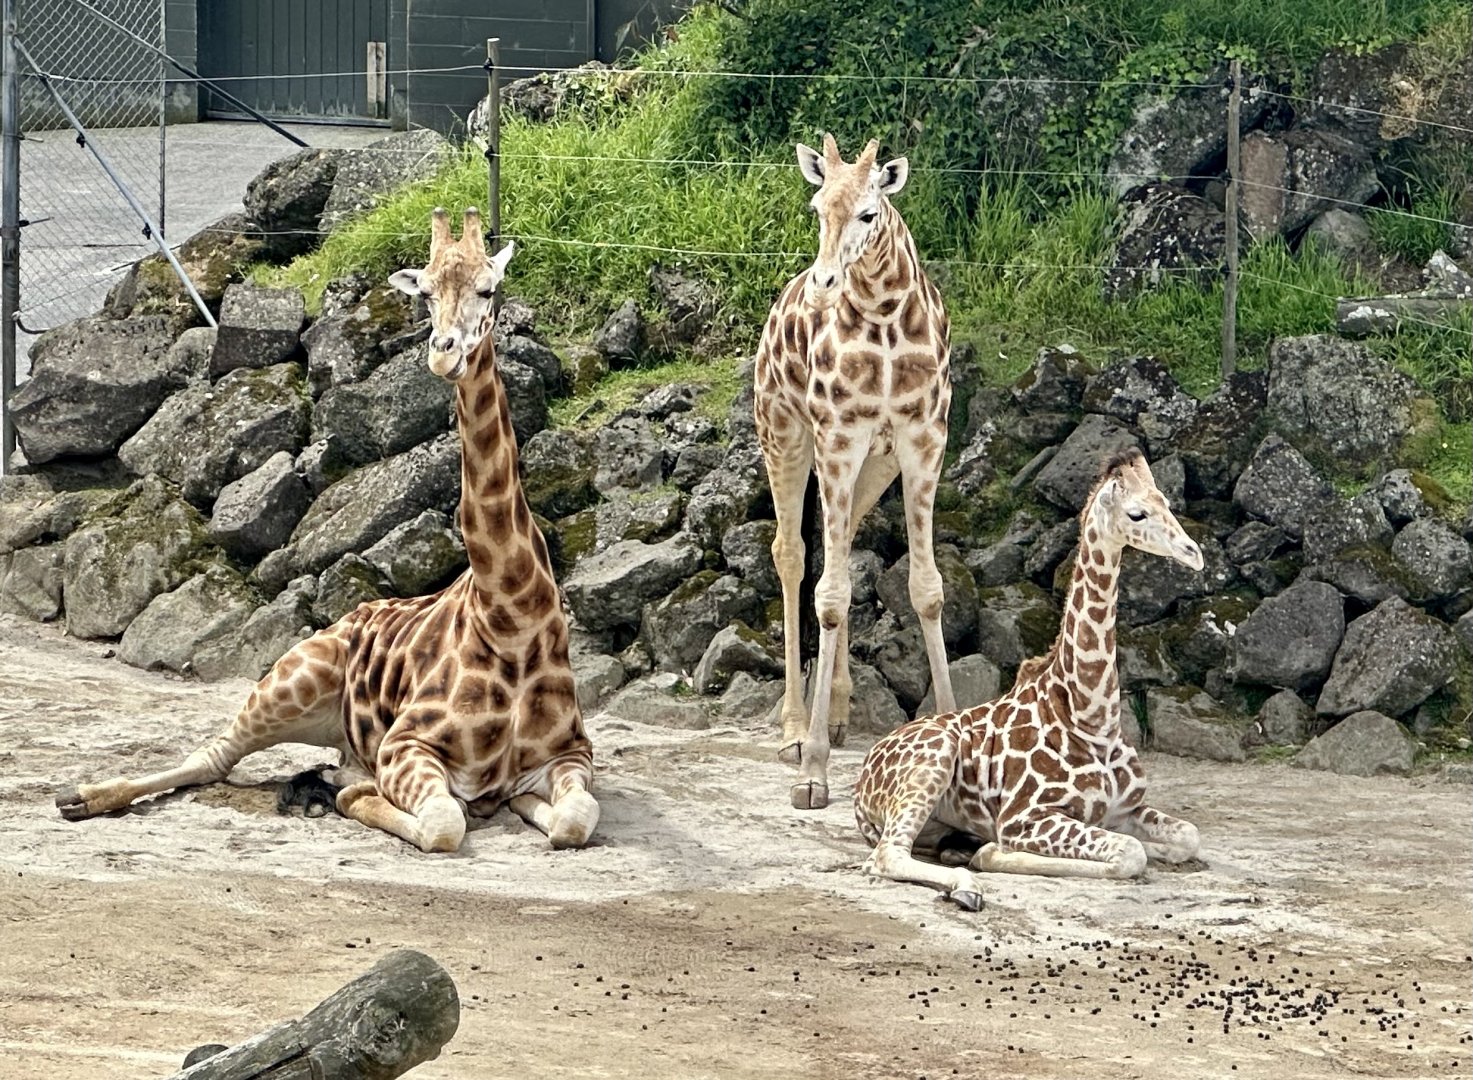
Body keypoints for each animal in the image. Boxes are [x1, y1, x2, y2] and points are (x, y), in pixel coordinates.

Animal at [54, 208, 599, 855]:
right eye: (425, 295)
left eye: (488, 290)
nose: (443, 355)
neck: (511, 618)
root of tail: (349, 616)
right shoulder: (405, 746)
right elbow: (445, 824)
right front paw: (357, 796)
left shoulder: (571, 754)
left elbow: (572, 819)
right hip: (292, 678)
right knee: (213, 756)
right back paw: (81, 796)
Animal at [755, 133, 957, 812]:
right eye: (817, 208)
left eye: (869, 214)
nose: (824, 284)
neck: (887, 318)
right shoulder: (839, 436)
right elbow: (831, 596)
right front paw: (812, 771)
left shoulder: (924, 441)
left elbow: (925, 589)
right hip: (785, 434)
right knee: (793, 554)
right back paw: (795, 729)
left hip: (873, 465)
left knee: (838, 547)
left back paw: (840, 712)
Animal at [853, 448, 1203, 910]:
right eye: (1137, 513)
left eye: (1166, 500)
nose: (1194, 553)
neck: (1092, 716)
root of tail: (861, 782)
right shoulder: (1024, 816)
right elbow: (1129, 853)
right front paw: (991, 853)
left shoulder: (1126, 809)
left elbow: (1188, 836)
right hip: (933, 761)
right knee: (886, 855)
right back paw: (966, 884)